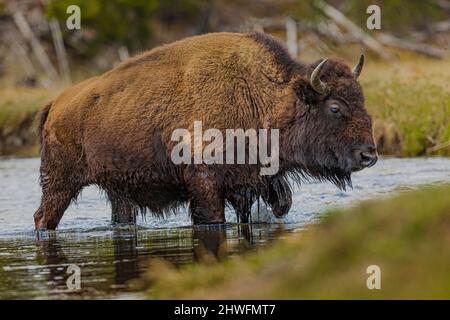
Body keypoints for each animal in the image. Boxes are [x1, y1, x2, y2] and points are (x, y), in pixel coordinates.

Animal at [34, 31, 376, 230]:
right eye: (335, 107)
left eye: (362, 99)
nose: (369, 155)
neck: (260, 95)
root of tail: (55, 104)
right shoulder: (205, 184)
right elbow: (212, 219)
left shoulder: (255, 181)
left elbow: (278, 206)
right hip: (60, 183)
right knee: (43, 216)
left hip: (118, 192)